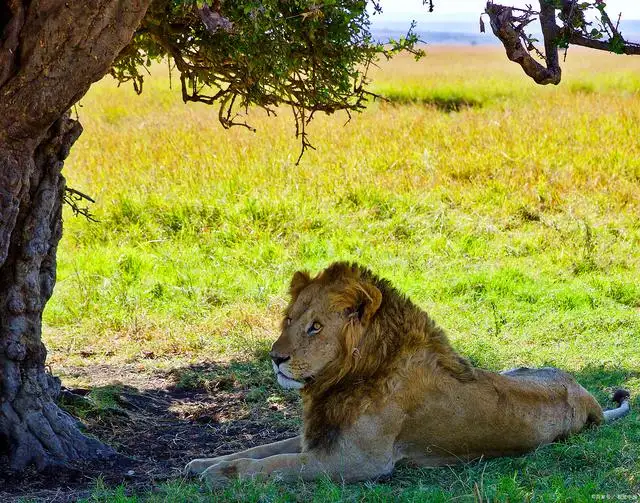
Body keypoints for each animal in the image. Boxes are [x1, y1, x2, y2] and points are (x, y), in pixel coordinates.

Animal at [188, 262, 632, 486]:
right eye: (290, 320)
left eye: (315, 327)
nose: (275, 357)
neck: (341, 381)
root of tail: (586, 395)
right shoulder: (318, 438)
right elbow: (259, 449)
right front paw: (202, 462)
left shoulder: (356, 461)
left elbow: (274, 464)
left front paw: (219, 474)